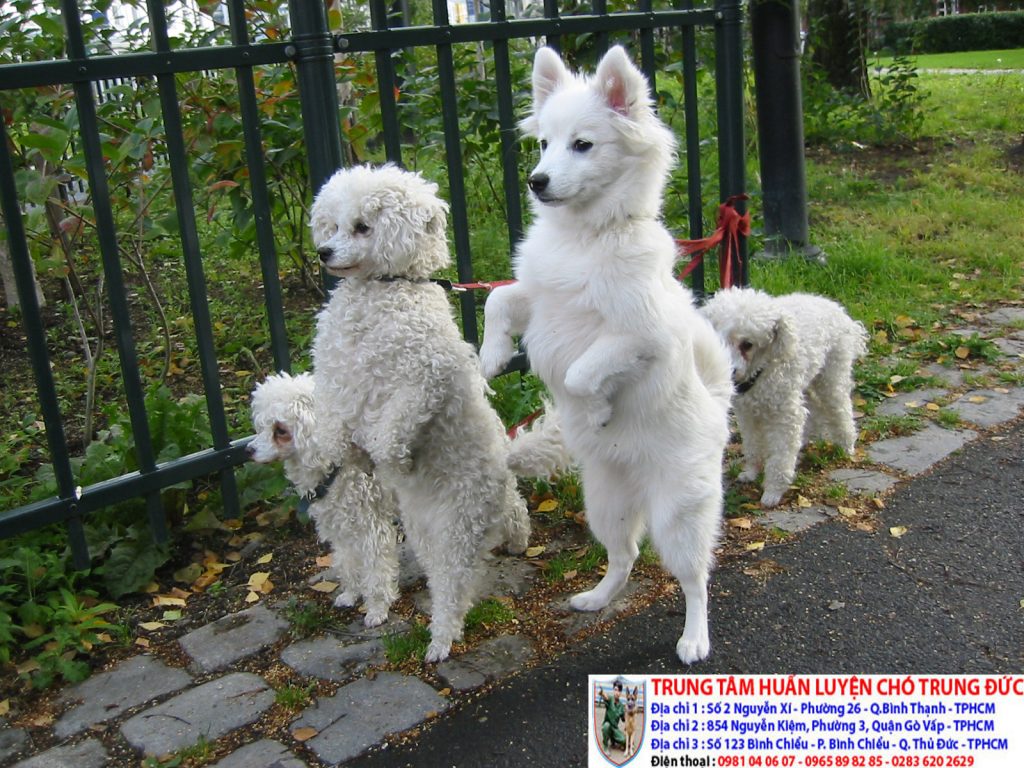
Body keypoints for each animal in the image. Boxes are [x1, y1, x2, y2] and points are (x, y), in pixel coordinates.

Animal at [247, 370, 399, 626]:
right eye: (262, 425)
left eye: (280, 430)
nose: (247, 450)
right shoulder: (341, 525)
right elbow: (347, 562)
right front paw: (351, 594)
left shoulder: (372, 528)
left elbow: (377, 571)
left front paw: (378, 609)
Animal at [475, 45, 733, 663]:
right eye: (544, 143)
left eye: (583, 145)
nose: (537, 181)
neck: (585, 237)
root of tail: (718, 406)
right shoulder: (541, 300)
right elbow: (499, 298)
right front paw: (491, 356)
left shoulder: (641, 334)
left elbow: (581, 370)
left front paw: (592, 409)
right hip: (606, 505)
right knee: (625, 556)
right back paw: (596, 598)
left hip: (679, 513)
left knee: (695, 578)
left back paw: (694, 638)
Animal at [704, 288, 872, 512]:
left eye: (747, 344)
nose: (730, 372)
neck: (761, 370)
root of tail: (838, 310)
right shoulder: (747, 414)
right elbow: (752, 445)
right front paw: (751, 472)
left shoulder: (785, 416)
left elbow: (780, 458)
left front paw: (773, 491)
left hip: (831, 377)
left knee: (841, 410)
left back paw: (846, 446)